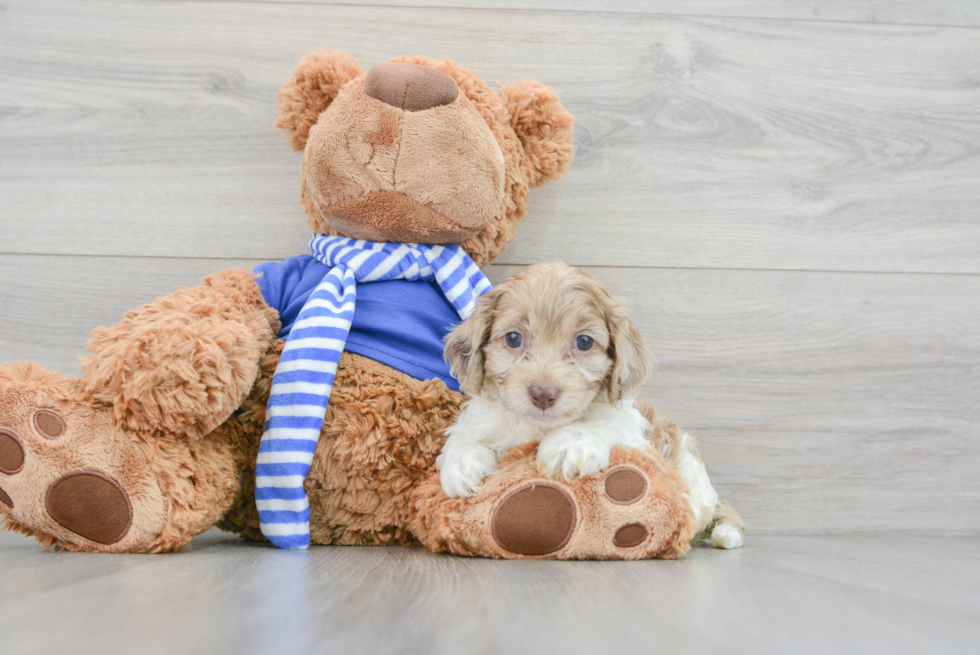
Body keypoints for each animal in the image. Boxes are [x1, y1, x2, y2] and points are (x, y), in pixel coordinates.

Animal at [436, 262, 744, 548]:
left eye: (584, 342)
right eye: (513, 338)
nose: (543, 394)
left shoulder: (632, 432)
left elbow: (604, 423)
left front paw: (568, 445)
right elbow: (462, 433)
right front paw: (462, 465)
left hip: (691, 470)